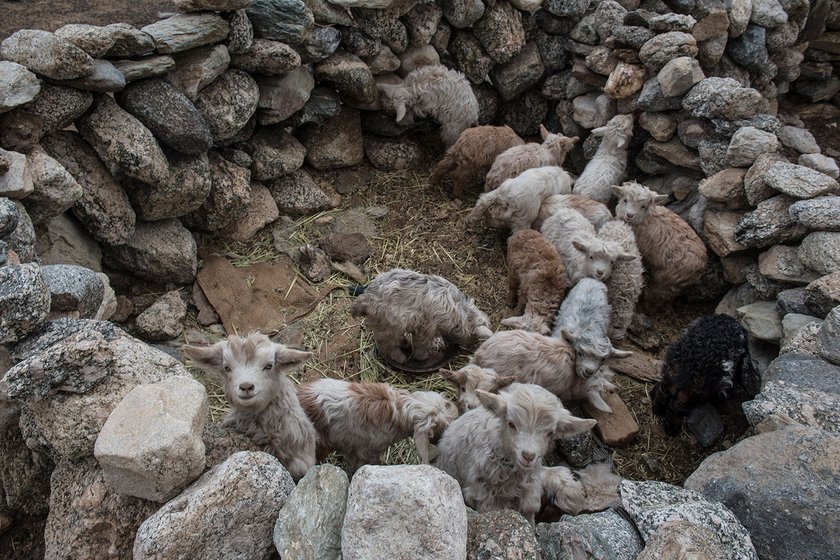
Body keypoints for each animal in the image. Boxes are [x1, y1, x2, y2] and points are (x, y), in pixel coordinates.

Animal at [352, 266, 496, 364]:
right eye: (474, 338)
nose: (469, 347)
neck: (461, 312)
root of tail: (366, 297)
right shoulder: (426, 328)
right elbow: (421, 345)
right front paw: (422, 357)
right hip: (389, 325)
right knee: (387, 344)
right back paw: (400, 357)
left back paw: (405, 343)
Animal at [612, 182, 704, 310]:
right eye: (625, 200)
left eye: (643, 206)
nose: (629, 215)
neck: (646, 218)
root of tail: (700, 266)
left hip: (666, 280)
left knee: (656, 298)